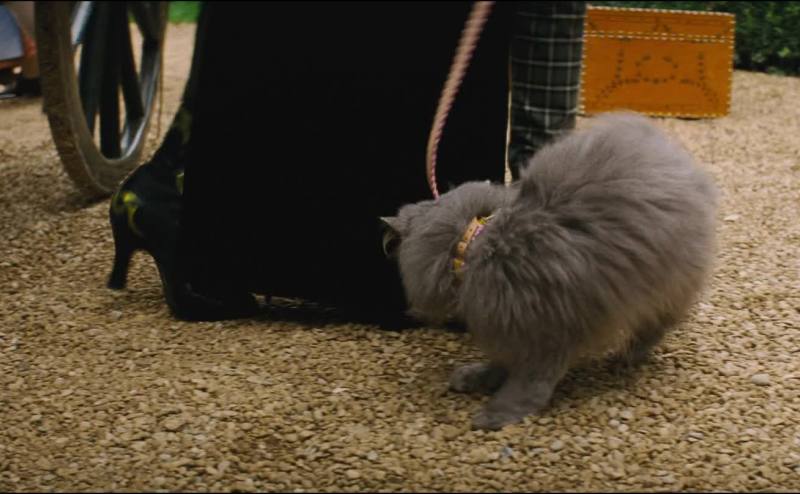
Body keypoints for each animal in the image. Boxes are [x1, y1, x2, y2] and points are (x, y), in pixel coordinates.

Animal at [381, 112, 718, 430]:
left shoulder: (545, 335)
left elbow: (527, 386)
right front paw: (475, 378)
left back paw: (627, 358)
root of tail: (670, 152)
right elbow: (500, 364)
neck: (474, 245)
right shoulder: (513, 332)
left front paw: (495, 414)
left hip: (662, 285)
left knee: (653, 327)